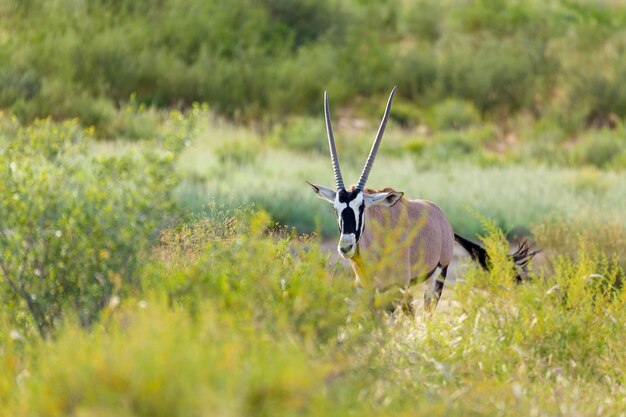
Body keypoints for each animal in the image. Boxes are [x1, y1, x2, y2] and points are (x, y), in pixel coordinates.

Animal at [308, 86, 536, 310]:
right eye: (335, 209)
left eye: (362, 207)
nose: (345, 247)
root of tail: (443, 219)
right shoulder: (367, 291)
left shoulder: (399, 287)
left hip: (436, 279)